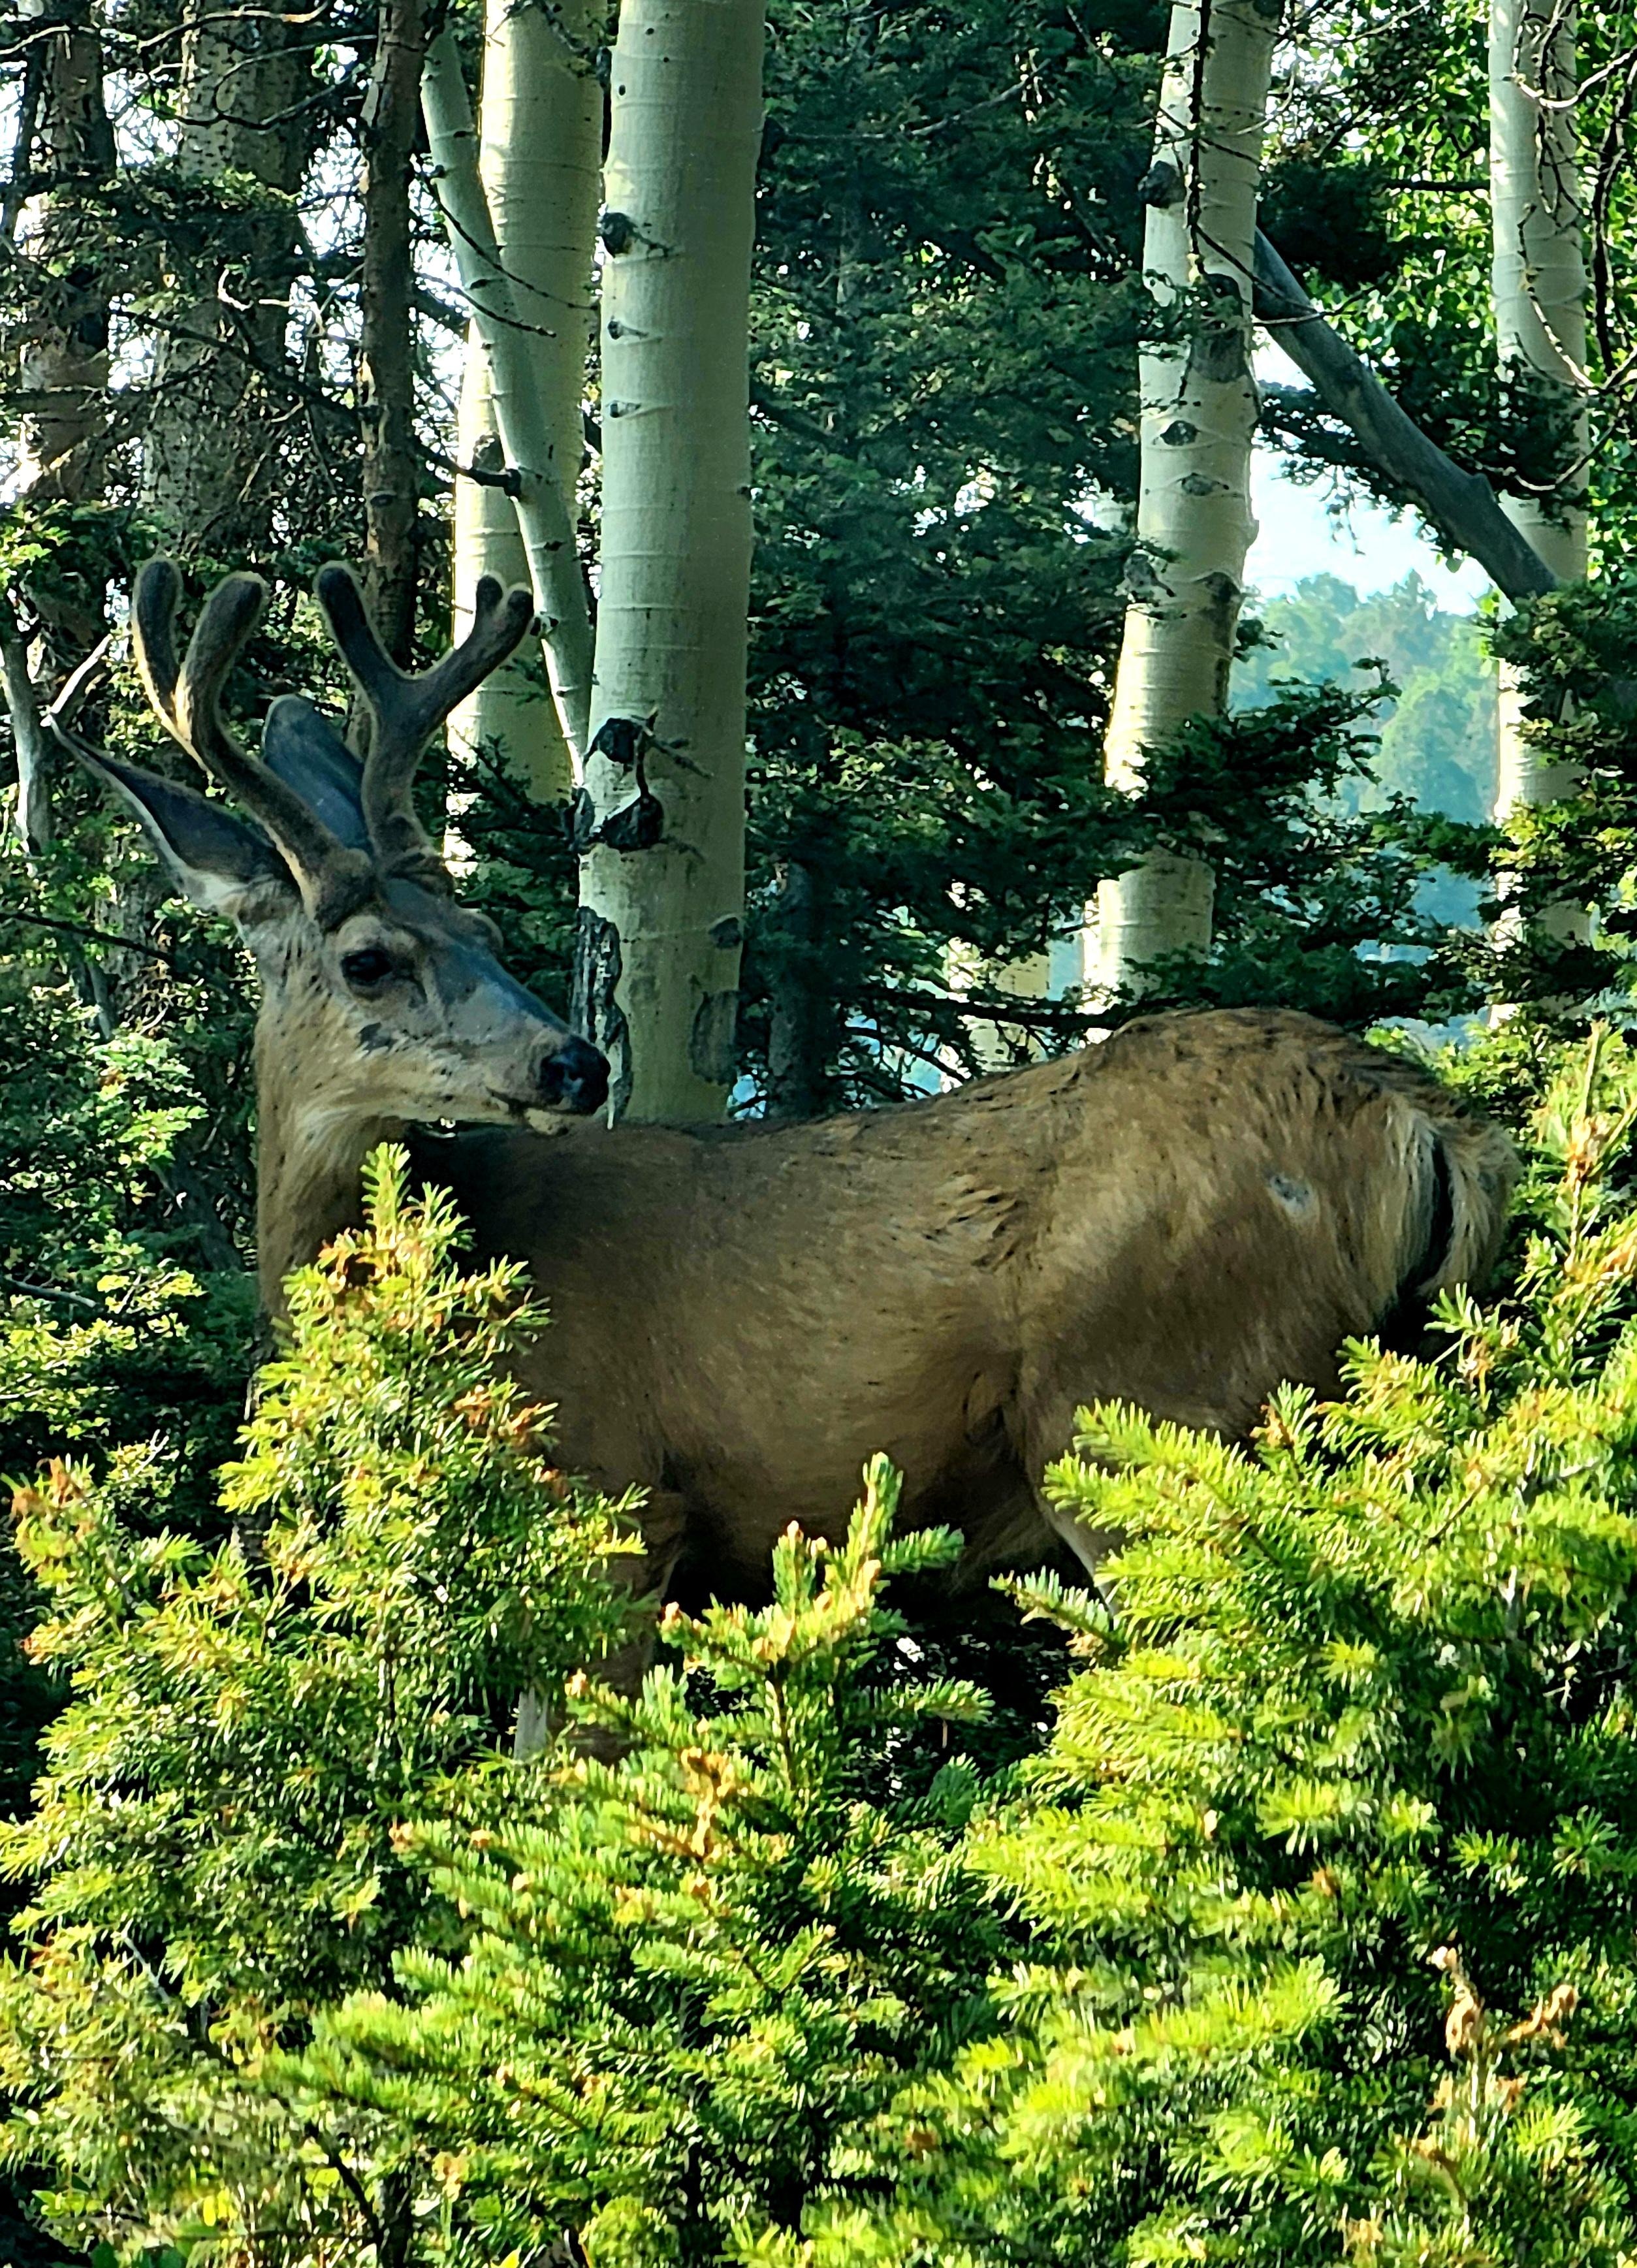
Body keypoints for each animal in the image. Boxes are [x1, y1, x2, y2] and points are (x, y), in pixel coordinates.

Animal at [68, 561, 1517, 1616]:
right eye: (377, 955)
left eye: (478, 927)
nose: (573, 1062)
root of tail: (1420, 1119)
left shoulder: (609, 1499)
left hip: (1152, 1406)